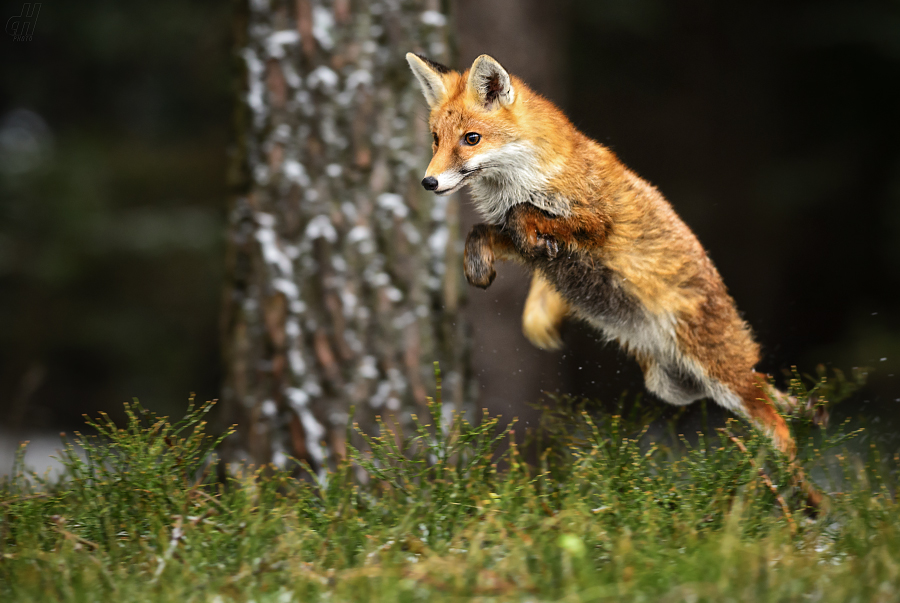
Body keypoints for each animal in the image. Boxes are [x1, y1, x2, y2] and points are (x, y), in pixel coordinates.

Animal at [408, 50, 824, 504]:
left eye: (471, 139)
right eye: (435, 139)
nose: (428, 181)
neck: (523, 179)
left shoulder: (596, 221)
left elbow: (525, 215)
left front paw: (528, 232)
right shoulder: (514, 240)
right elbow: (483, 232)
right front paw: (479, 267)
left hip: (720, 375)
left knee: (780, 427)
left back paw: (808, 500)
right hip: (677, 387)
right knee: (768, 395)